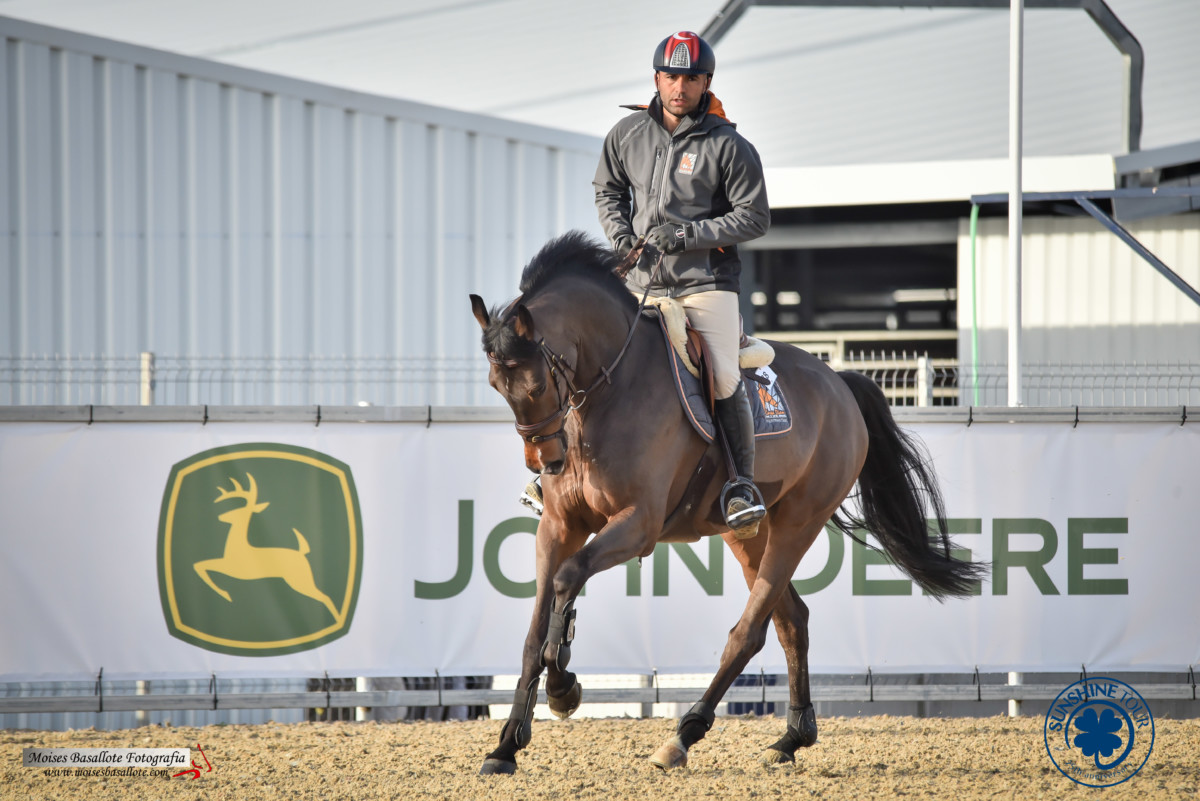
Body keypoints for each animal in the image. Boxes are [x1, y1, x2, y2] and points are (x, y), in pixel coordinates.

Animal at [468, 231, 984, 777]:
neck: (610, 391)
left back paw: (684, 735)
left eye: (536, 384)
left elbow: (569, 578)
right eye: (496, 387)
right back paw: (791, 738)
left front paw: (563, 687)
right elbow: (535, 628)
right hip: (747, 535)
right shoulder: (559, 526)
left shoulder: (638, 524)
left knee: (751, 631)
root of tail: (839, 382)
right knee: (791, 620)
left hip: (798, 523)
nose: (546, 462)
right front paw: (507, 744)